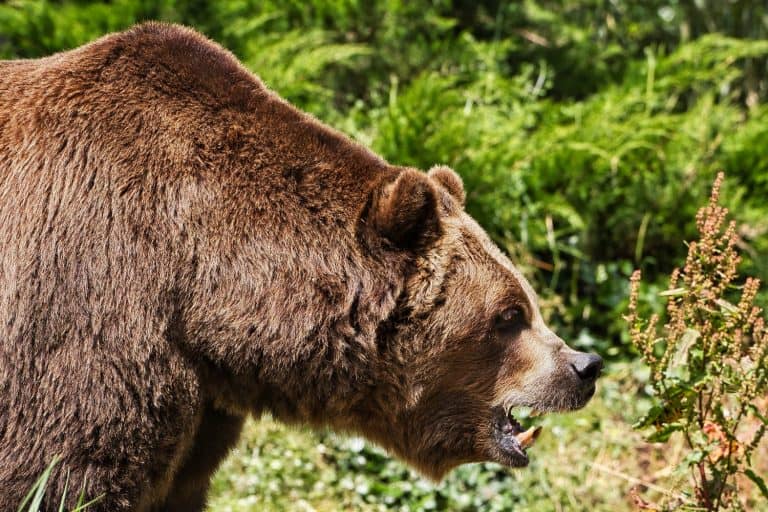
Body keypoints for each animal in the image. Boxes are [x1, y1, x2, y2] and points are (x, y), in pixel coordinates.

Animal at [0, 22, 602, 511]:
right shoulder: (85, 307)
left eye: (526, 302)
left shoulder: (203, 412)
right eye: (509, 315)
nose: (584, 366)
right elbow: (57, 474)